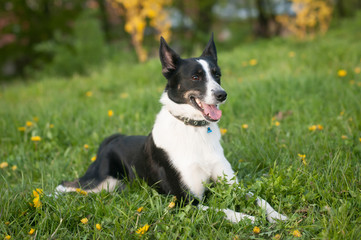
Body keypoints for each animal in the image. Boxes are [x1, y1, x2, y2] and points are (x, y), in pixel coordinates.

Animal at [55, 34, 286, 224]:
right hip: (104, 182)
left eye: (217, 75)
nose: (222, 95)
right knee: (68, 184)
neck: (193, 128)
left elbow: (259, 198)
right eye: (195, 77)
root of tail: (111, 140)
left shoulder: (231, 185)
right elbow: (222, 210)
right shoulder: (184, 200)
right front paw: (247, 218)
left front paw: (277, 215)